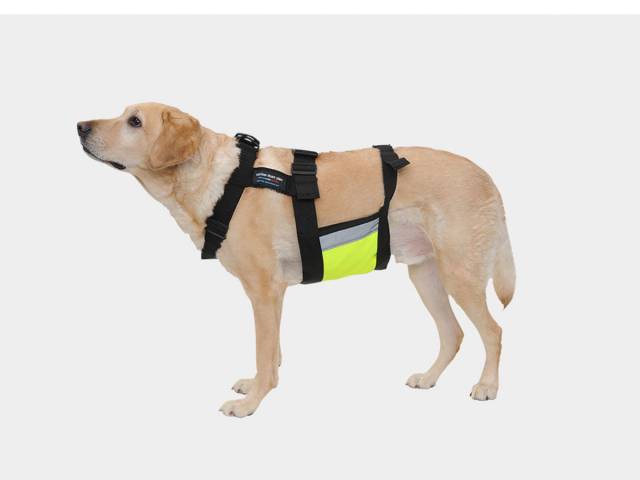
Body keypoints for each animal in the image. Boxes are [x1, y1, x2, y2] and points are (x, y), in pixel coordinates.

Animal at [77, 102, 515, 417]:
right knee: (453, 334)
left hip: (459, 275)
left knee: (493, 331)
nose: (80, 126)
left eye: (134, 121)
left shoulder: (263, 290)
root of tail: (485, 175)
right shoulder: (276, 293)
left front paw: (250, 404)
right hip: (425, 275)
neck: (223, 181)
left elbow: (263, 350)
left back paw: (488, 387)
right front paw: (259, 386)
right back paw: (428, 378)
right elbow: (271, 353)